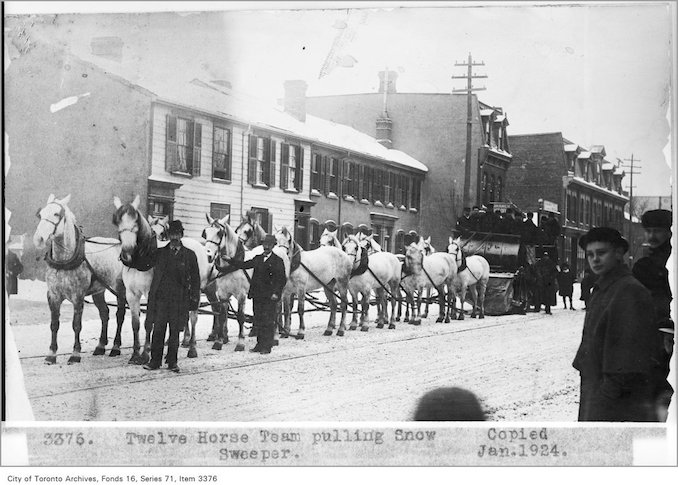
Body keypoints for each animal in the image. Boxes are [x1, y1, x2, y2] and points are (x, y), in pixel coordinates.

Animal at [32, 193, 127, 364]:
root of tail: (119, 243)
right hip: (99, 291)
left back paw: (116, 347)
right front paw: (51, 354)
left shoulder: (78, 296)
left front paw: (75, 354)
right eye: (40, 214)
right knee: (104, 313)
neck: (64, 260)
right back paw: (100, 346)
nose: (39, 239)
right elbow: (54, 324)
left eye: (56, 214)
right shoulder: (53, 296)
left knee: (120, 315)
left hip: (120, 290)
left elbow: (76, 325)